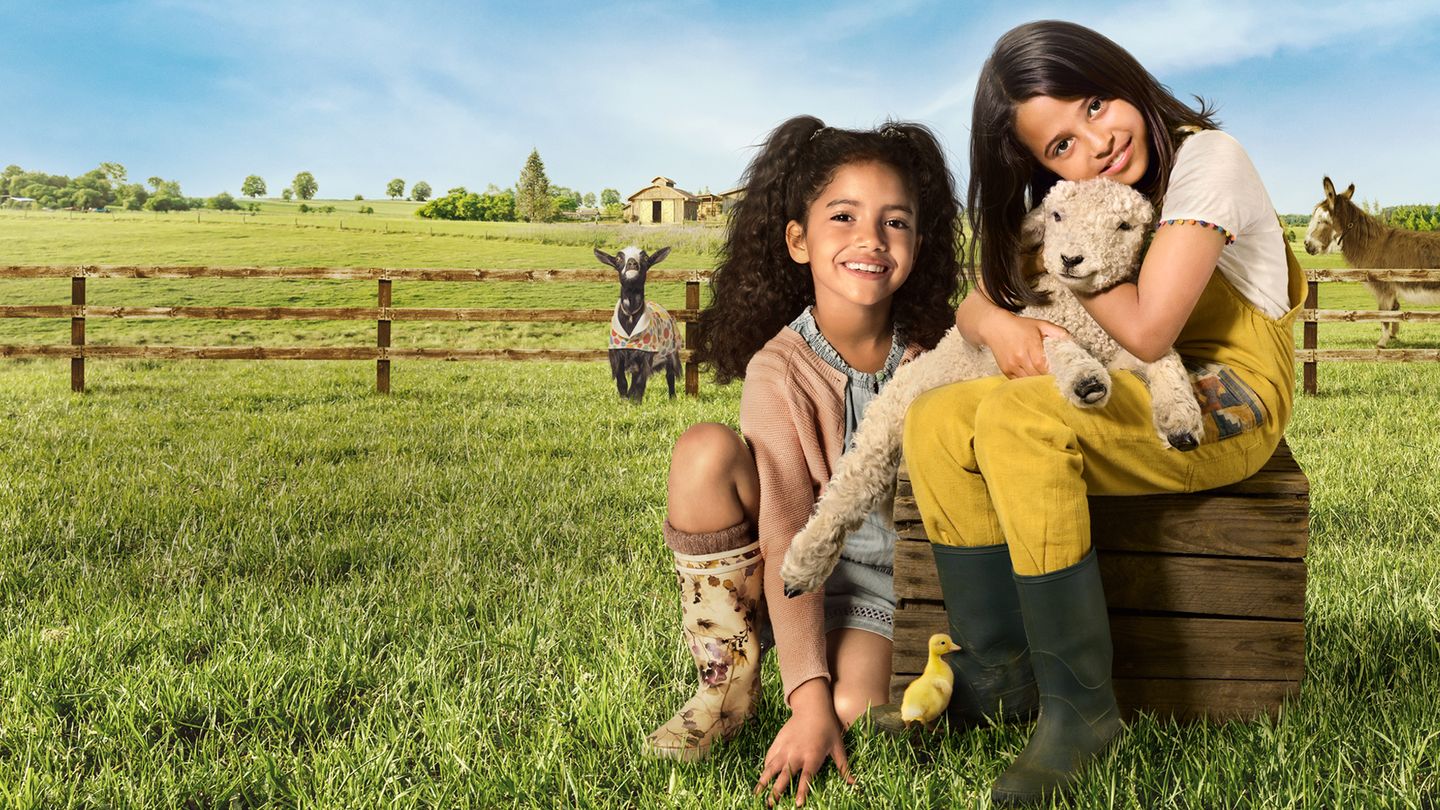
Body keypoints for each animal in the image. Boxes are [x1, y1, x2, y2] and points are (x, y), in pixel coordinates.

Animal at [777, 176, 1203, 593]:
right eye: (1057, 215)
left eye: (1124, 226)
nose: (1070, 259)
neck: (1079, 312)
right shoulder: (1031, 333)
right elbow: (1054, 344)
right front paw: (1086, 380)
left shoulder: (1122, 350)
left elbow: (1164, 357)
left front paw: (1180, 419)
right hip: (881, 431)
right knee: (848, 488)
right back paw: (802, 567)